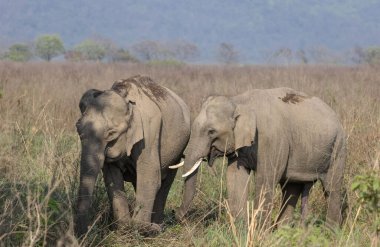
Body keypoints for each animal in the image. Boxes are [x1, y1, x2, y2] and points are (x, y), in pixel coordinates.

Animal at [75, 75, 190, 235]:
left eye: (111, 134)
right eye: (78, 129)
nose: (87, 230)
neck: (124, 97)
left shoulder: (150, 132)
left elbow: (150, 176)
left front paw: (142, 227)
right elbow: (112, 178)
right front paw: (124, 227)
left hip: (177, 152)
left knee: (165, 182)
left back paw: (157, 225)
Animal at [174, 88, 346, 229]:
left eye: (211, 131)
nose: (178, 216)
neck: (238, 101)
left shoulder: (272, 139)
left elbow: (265, 180)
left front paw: (258, 231)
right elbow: (235, 177)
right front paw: (241, 229)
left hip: (338, 147)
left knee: (331, 187)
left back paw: (331, 232)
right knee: (291, 188)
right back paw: (282, 231)